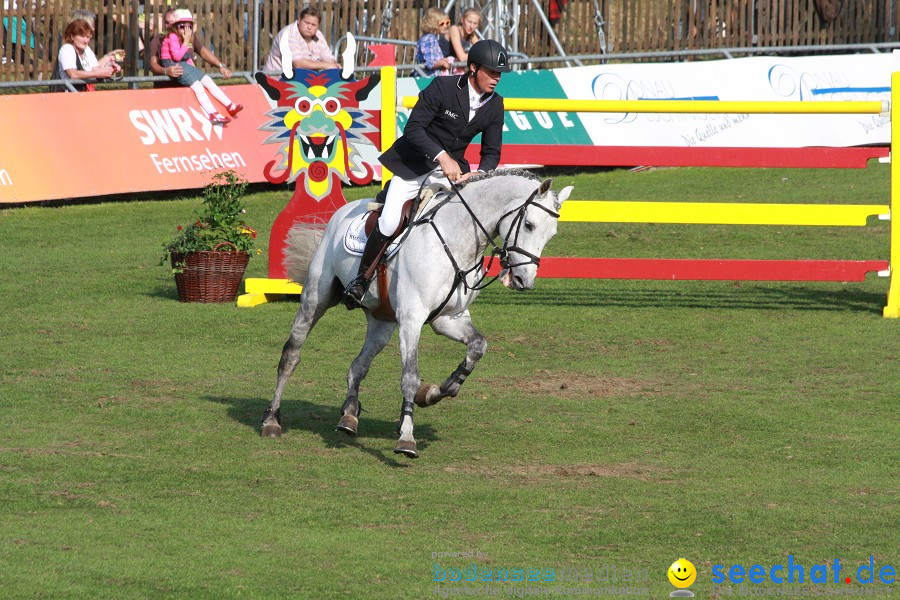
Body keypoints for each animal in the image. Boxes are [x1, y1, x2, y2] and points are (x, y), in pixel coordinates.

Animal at [260, 166, 572, 458]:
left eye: (552, 234)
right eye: (529, 225)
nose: (523, 281)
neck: (456, 239)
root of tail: (342, 211)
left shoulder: (449, 319)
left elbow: (477, 346)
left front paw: (432, 394)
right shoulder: (412, 319)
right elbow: (410, 377)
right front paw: (407, 439)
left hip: (382, 321)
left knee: (357, 366)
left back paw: (349, 416)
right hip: (316, 300)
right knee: (291, 355)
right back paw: (272, 420)